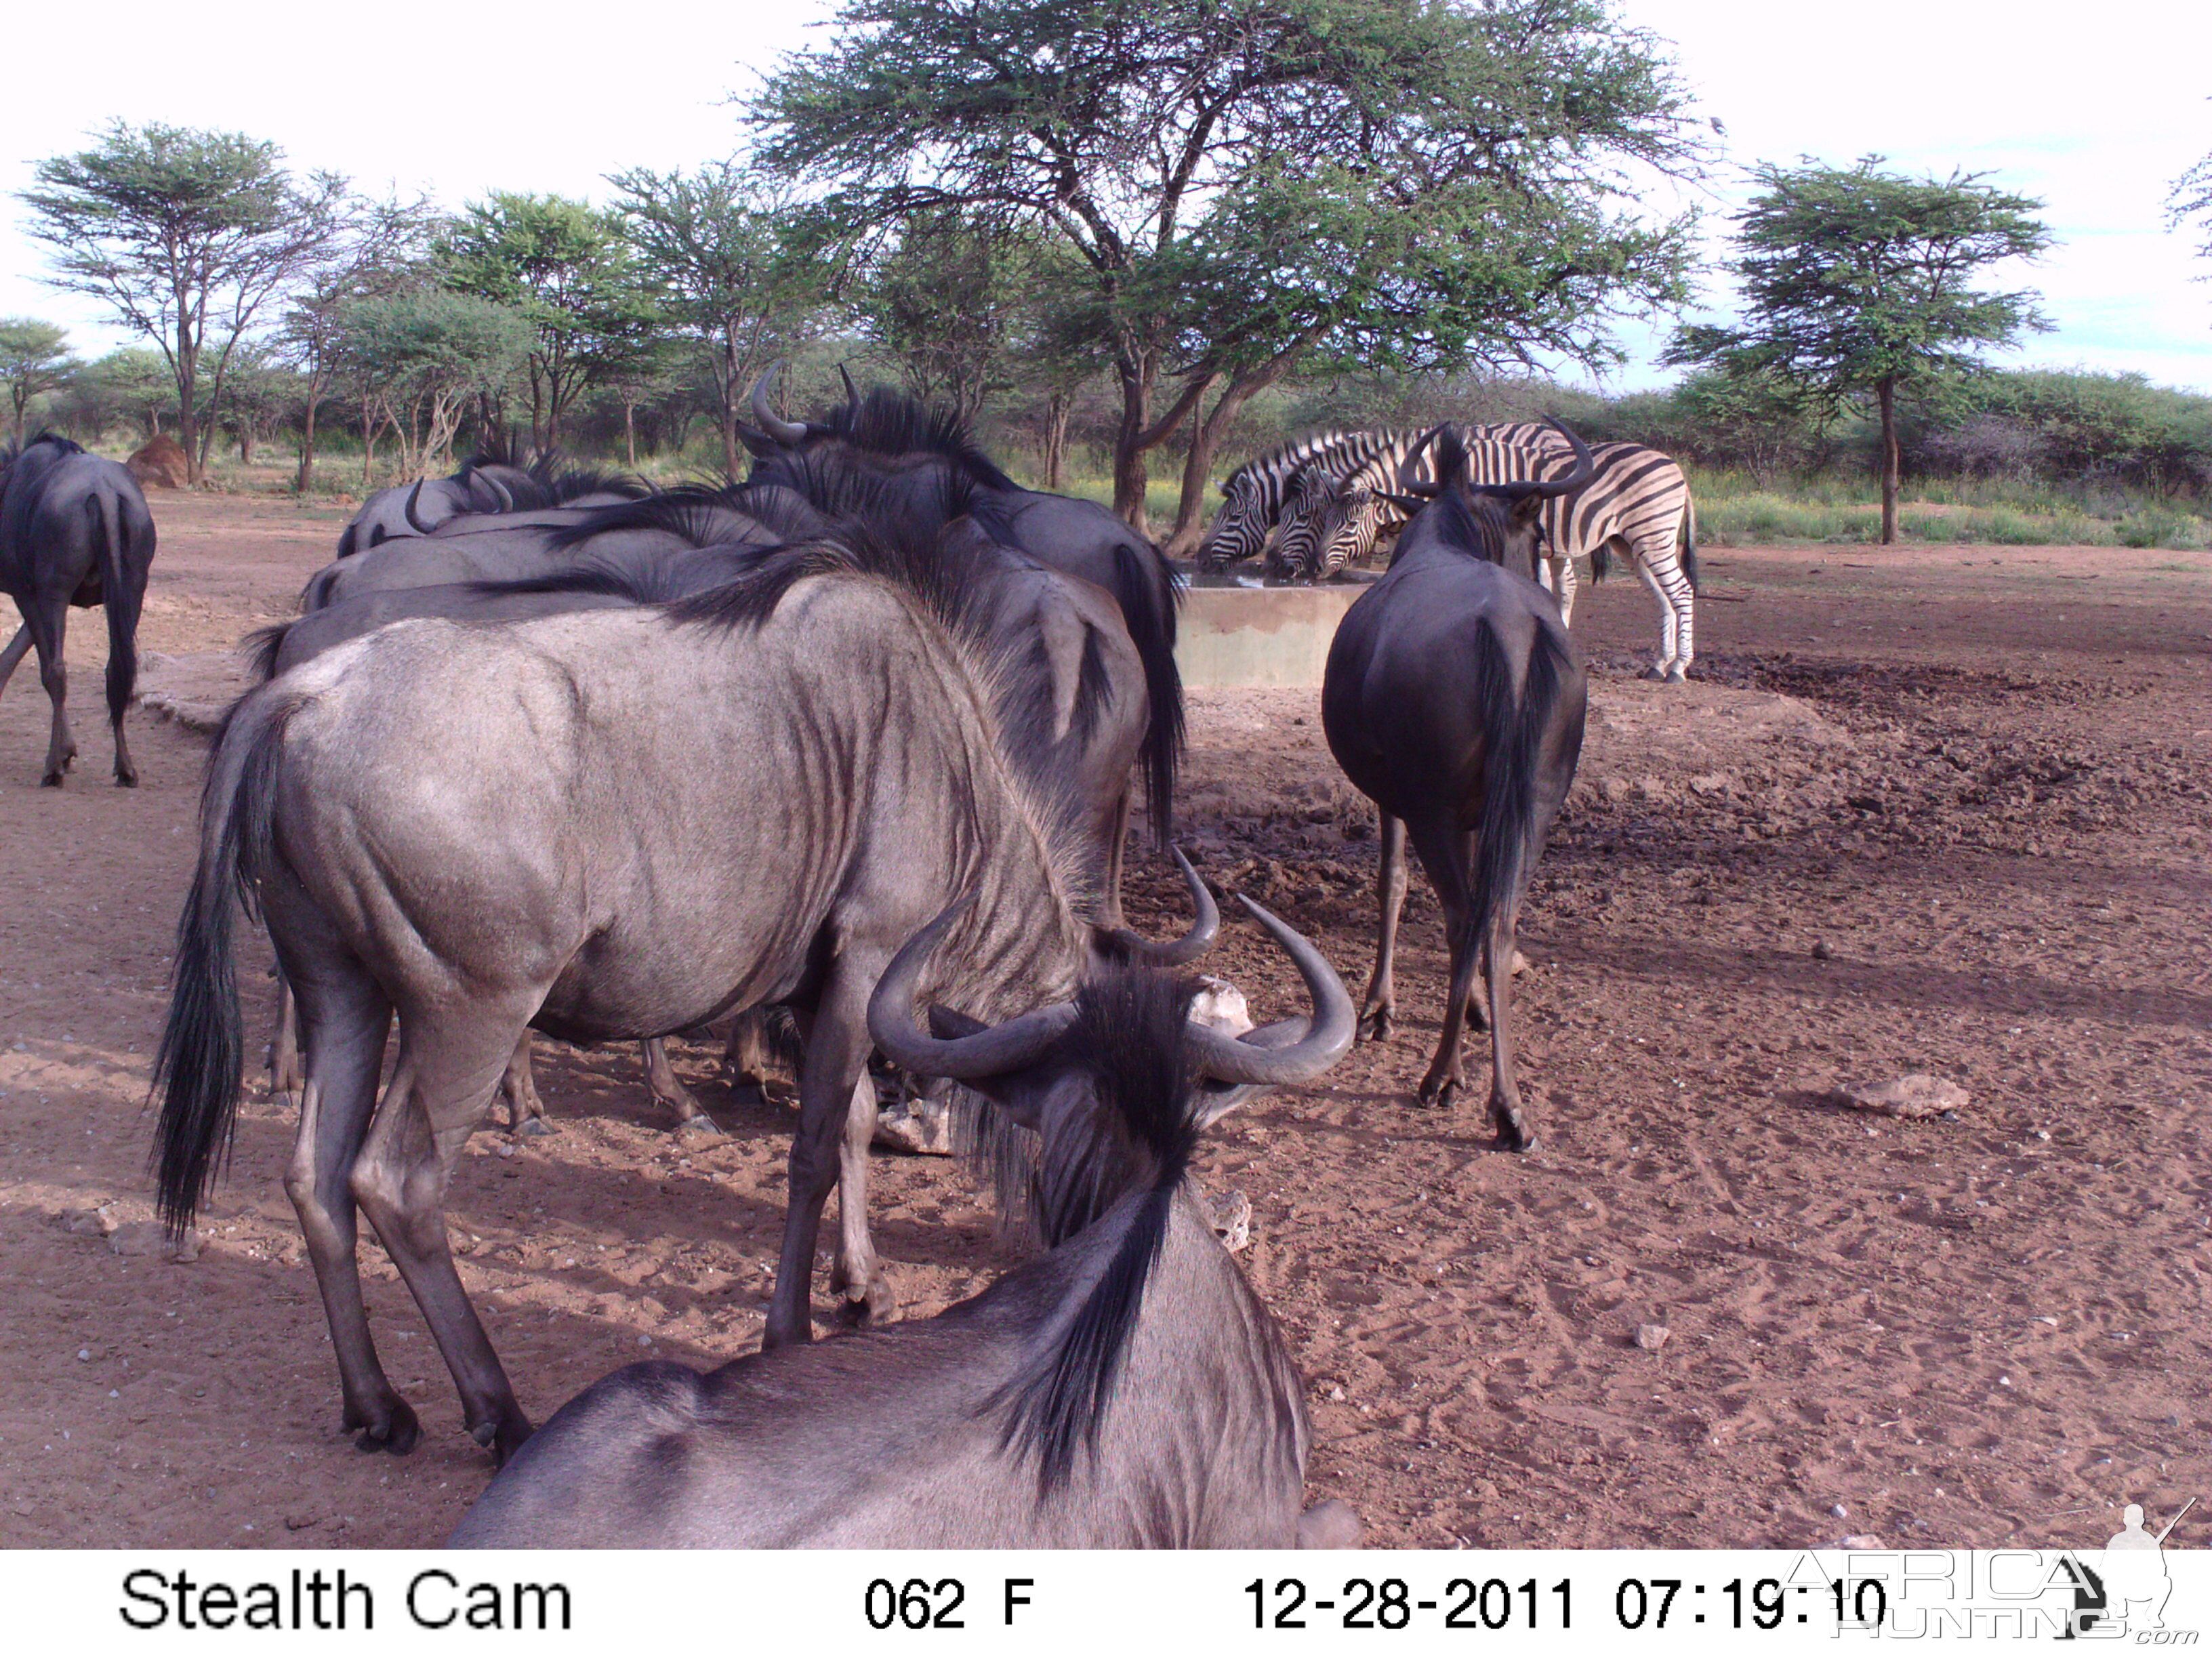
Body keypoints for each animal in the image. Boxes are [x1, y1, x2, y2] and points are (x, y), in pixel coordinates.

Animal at [1274, 429, 1698, 690]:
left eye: (1345, 523)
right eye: (1321, 518)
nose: (1309, 571)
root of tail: (1674, 464)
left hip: (1653, 534)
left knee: (1682, 591)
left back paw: (1678, 668)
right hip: (1631, 542)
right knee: (1663, 597)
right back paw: (1660, 664)